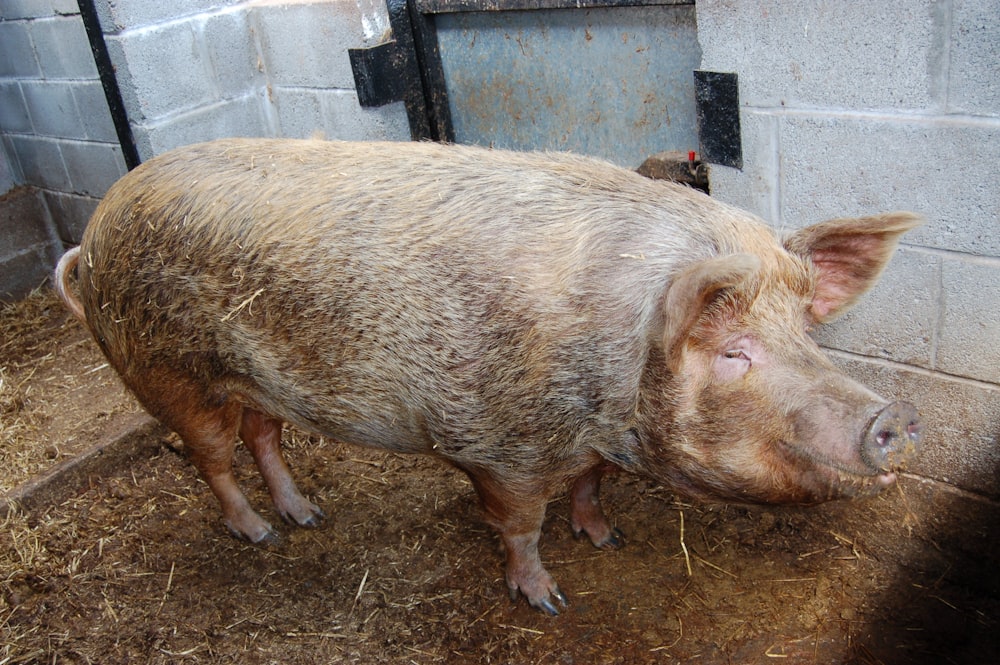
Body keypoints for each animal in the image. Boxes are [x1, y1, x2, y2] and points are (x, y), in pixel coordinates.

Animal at [54, 137, 920, 616]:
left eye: (805, 330)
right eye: (736, 350)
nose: (894, 417)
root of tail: (93, 228)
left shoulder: (590, 443)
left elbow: (590, 488)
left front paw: (606, 537)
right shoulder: (496, 446)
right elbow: (519, 525)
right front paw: (546, 598)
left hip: (253, 380)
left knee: (263, 436)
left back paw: (308, 515)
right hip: (164, 371)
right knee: (210, 457)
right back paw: (259, 532)